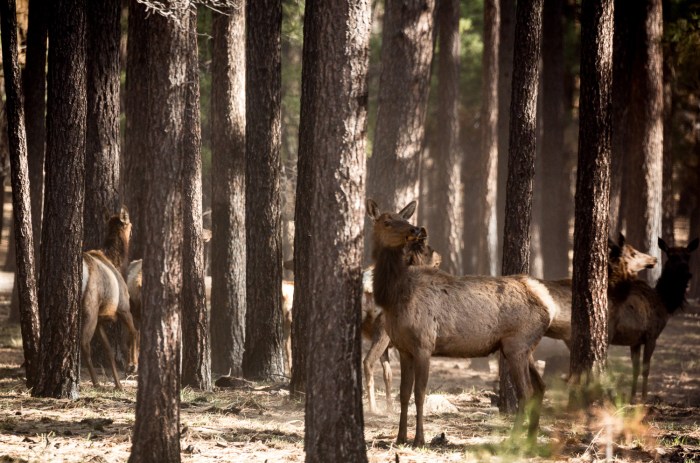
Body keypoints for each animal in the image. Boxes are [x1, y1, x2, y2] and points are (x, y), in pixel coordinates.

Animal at [81, 206, 139, 389]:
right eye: (130, 224)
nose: (133, 232)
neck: (117, 263)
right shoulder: (124, 308)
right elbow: (134, 332)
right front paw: (132, 366)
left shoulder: (101, 319)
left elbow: (108, 351)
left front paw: (118, 384)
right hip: (90, 305)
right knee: (84, 343)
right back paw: (96, 382)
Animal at [367, 199, 553, 446]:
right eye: (387, 221)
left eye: (404, 218)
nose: (414, 230)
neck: (394, 297)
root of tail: (549, 306)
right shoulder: (404, 348)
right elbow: (404, 393)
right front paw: (399, 438)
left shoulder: (424, 344)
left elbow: (420, 393)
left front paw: (419, 440)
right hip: (522, 347)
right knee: (540, 387)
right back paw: (531, 439)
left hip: (517, 345)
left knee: (526, 392)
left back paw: (514, 440)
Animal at [608, 237, 698, 401]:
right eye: (671, 255)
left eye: (687, 256)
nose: (686, 272)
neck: (665, 303)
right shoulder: (651, 335)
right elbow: (646, 369)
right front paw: (644, 398)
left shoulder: (635, 340)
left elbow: (635, 369)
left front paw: (632, 397)